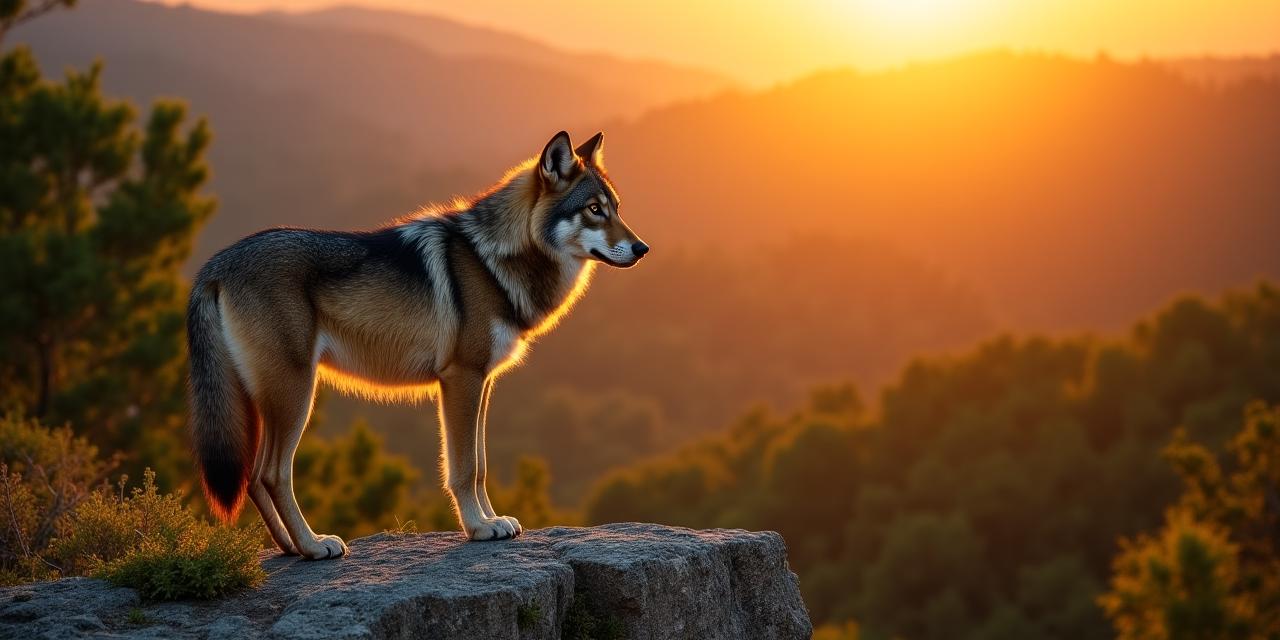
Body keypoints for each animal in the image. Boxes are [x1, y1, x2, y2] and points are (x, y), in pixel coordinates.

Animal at [186, 131, 647, 559]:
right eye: (594, 210)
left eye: (617, 208)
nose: (643, 248)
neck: (493, 260)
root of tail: (216, 264)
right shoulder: (460, 379)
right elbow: (463, 468)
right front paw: (479, 528)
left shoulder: (482, 383)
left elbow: (480, 464)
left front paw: (493, 520)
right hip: (296, 394)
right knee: (271, 474)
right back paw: (314, 545)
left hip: (266, 401)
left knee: (252, 477)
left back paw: (289, 548)